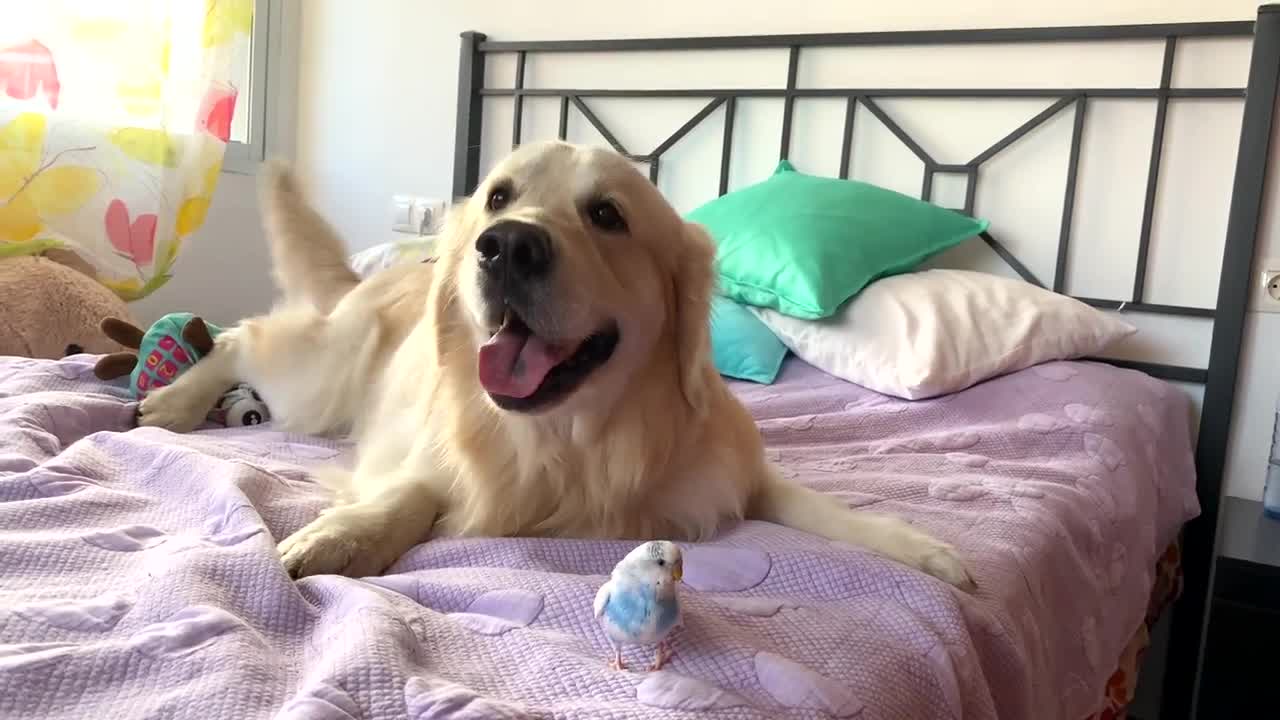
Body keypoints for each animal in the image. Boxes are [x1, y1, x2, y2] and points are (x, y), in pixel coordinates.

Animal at [140, 140, 972, 589]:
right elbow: (412, 491)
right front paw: (343, 535)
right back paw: (174, 399)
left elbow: (830, 512)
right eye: (497, 196)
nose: (505, 244)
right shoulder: (428, 456)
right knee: (243, 335)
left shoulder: (735, 475)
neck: (572, 440)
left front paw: (931, 554)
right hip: (324, 382)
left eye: (607, 215)